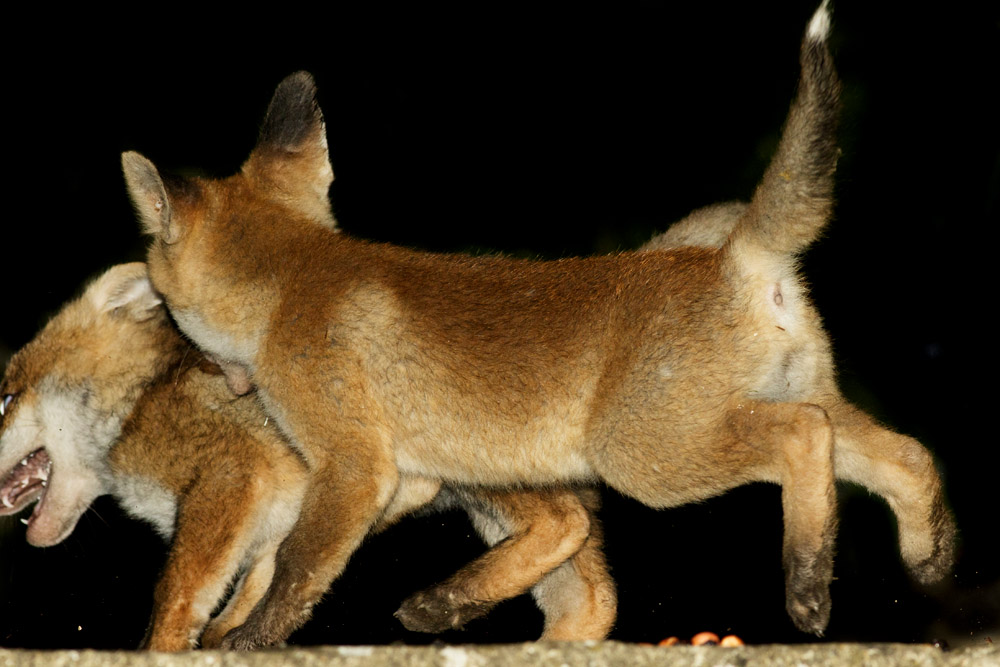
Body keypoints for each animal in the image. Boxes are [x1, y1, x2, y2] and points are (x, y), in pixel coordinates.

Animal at [0, 262, 617, 650]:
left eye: (4, 397)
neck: (140, 399)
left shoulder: (232, 475)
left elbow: (177, 599)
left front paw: (174, 648)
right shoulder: (275, 509)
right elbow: (266, 576)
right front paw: (235, 638)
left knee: (565, 524)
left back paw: (445, 603)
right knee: (592, 597)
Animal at [122, 1, 954, 649]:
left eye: (164, 297)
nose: (192, 360)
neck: (293, 283)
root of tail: (736, 256)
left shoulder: (355, 461)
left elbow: (295, 567)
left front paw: (251, 637)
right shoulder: (410, 476)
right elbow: (275, 558)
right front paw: (231, 625)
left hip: (644, 454)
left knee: (803, 435)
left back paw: (807, 583)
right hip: (784, 403)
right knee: (905, 454)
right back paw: (928, 557)